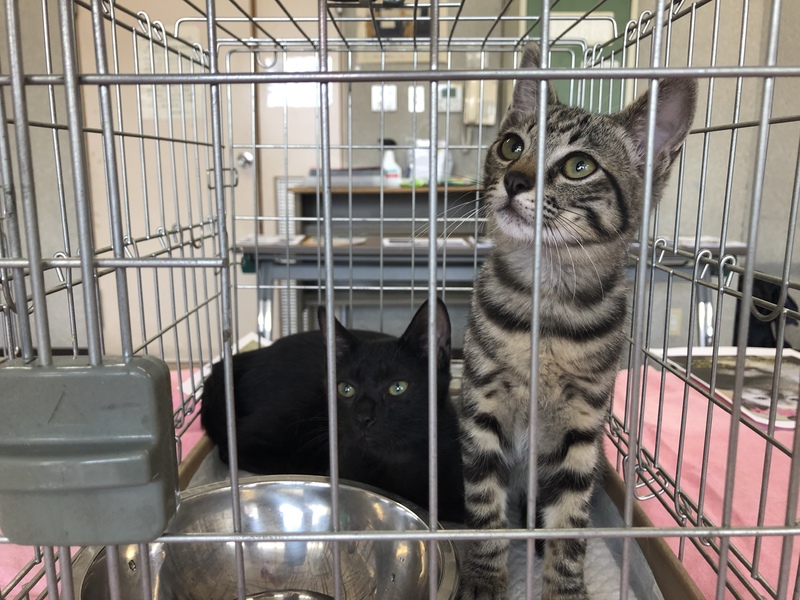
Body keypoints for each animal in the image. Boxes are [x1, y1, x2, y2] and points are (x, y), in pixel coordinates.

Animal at [199, 297, 465, 523]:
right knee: (233, 445)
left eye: (397, 387)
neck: (394, 460)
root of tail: (249, 356)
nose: (362, 417)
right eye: (345, 389)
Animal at [456, 43, 697, 600]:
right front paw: (484, 576)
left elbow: (571, 519)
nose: (514, 179)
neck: (547, 306)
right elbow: (483, 502)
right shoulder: (482, 405)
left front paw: (564, 586)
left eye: (578, 165)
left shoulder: (583, 424)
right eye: (510, 145)